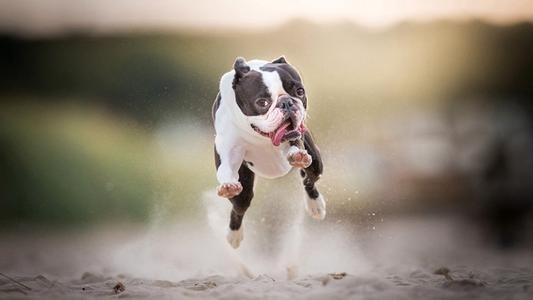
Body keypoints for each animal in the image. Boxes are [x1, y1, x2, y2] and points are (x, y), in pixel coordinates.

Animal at [212, 56, 324, 248]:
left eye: (300, 91)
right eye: (262, 102)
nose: (287, 102)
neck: (260, 137)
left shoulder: (296, 136)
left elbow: (296, 146)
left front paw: (297, 155)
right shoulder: (228, 148)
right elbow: (226, 168)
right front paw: (228, 184)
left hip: (316, 163)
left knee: (309, 179)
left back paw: (315, 204)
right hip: (243, 194)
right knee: (238, 209)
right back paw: (234, 235)